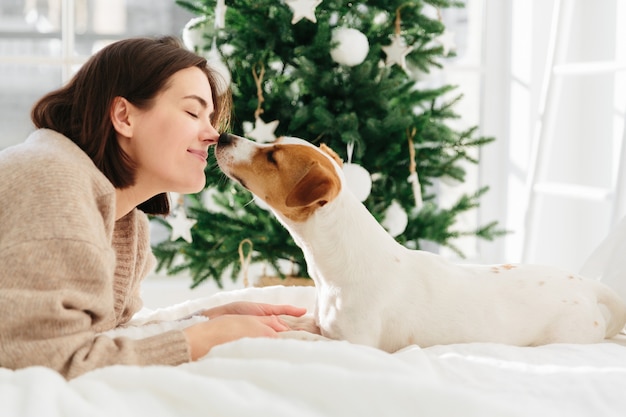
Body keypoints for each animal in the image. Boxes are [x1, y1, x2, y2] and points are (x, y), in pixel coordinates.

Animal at [216, 132, 624, 350]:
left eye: (272, 156)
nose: (223, 135)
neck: (337, 267)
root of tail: (586, 285)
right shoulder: (325, 325)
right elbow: (301, 323)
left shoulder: (359, 345)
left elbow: (310, 339)